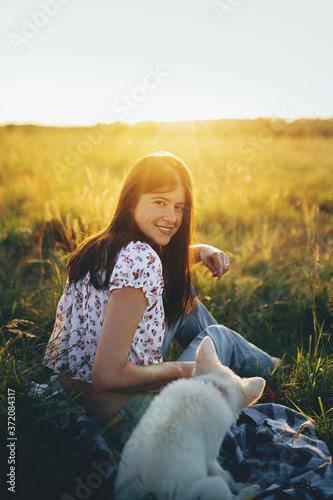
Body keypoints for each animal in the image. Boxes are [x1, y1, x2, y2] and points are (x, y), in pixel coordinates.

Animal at [114, 336, 264, 500]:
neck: (211, 388)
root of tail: (148, 494)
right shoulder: (211, 457)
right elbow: (226, 476)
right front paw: (240, 486)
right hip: (212, 485)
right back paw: (250, 491)